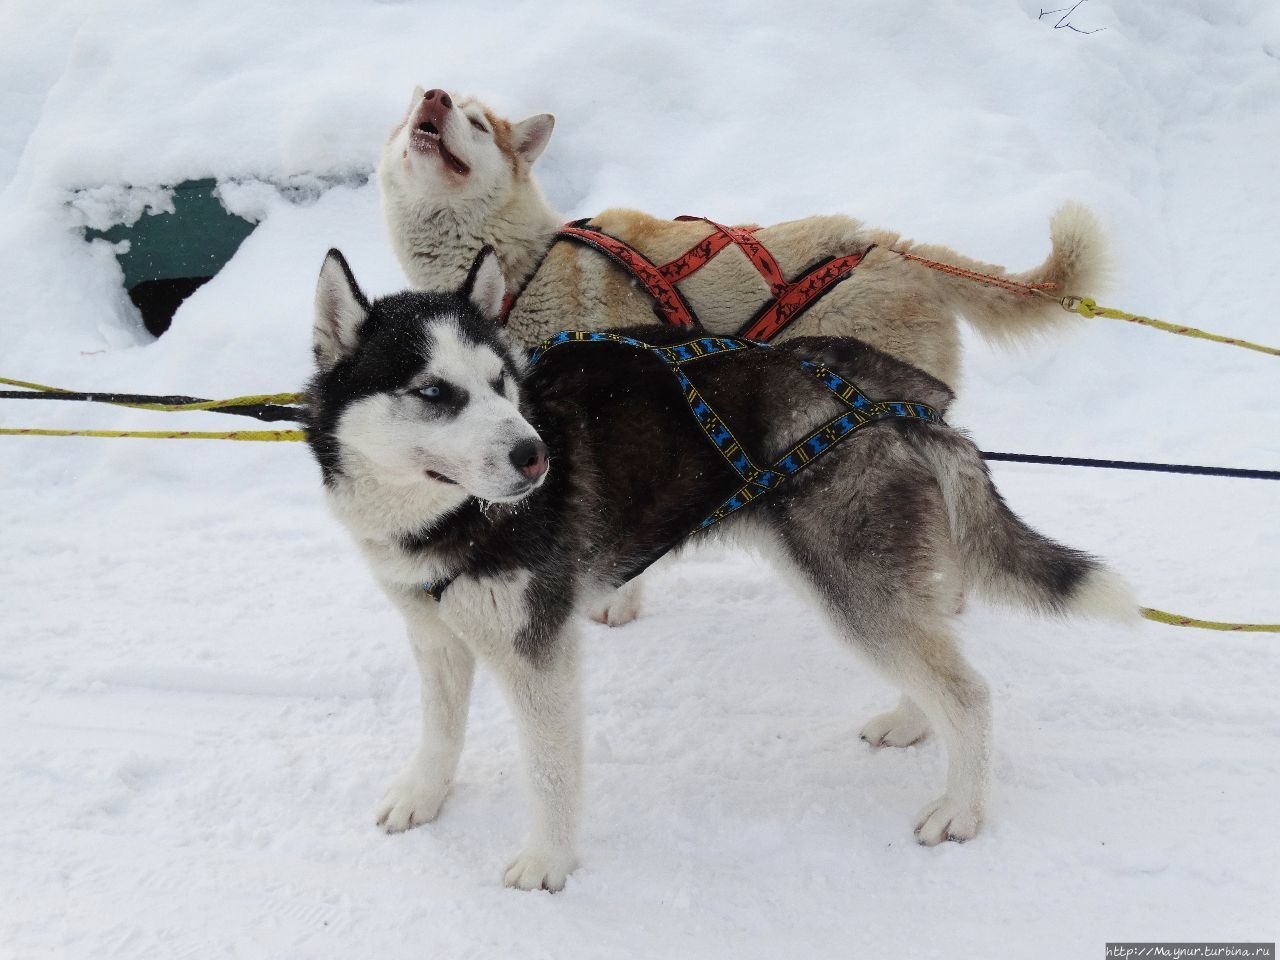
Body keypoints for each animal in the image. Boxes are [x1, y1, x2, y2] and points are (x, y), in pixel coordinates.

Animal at [302, 248, 1131, 896]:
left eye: (501, 384)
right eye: (433, 392)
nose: (533, 455)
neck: (455, 520)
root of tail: (907, 395)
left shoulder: (537, 653)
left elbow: (549, 773)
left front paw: (547, 862)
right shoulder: (435, 637)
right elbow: (439, 733)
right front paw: (423, 796)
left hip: (846, 583)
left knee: (968, 691)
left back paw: (962, 808)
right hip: (867, 582)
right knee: (935, 656)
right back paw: (910, 718)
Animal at [373, 88, 1105, 624]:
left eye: (476, 122)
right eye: (417, 108)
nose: (435, 96)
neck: (520, 265)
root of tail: (900, 252)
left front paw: (615, 602)